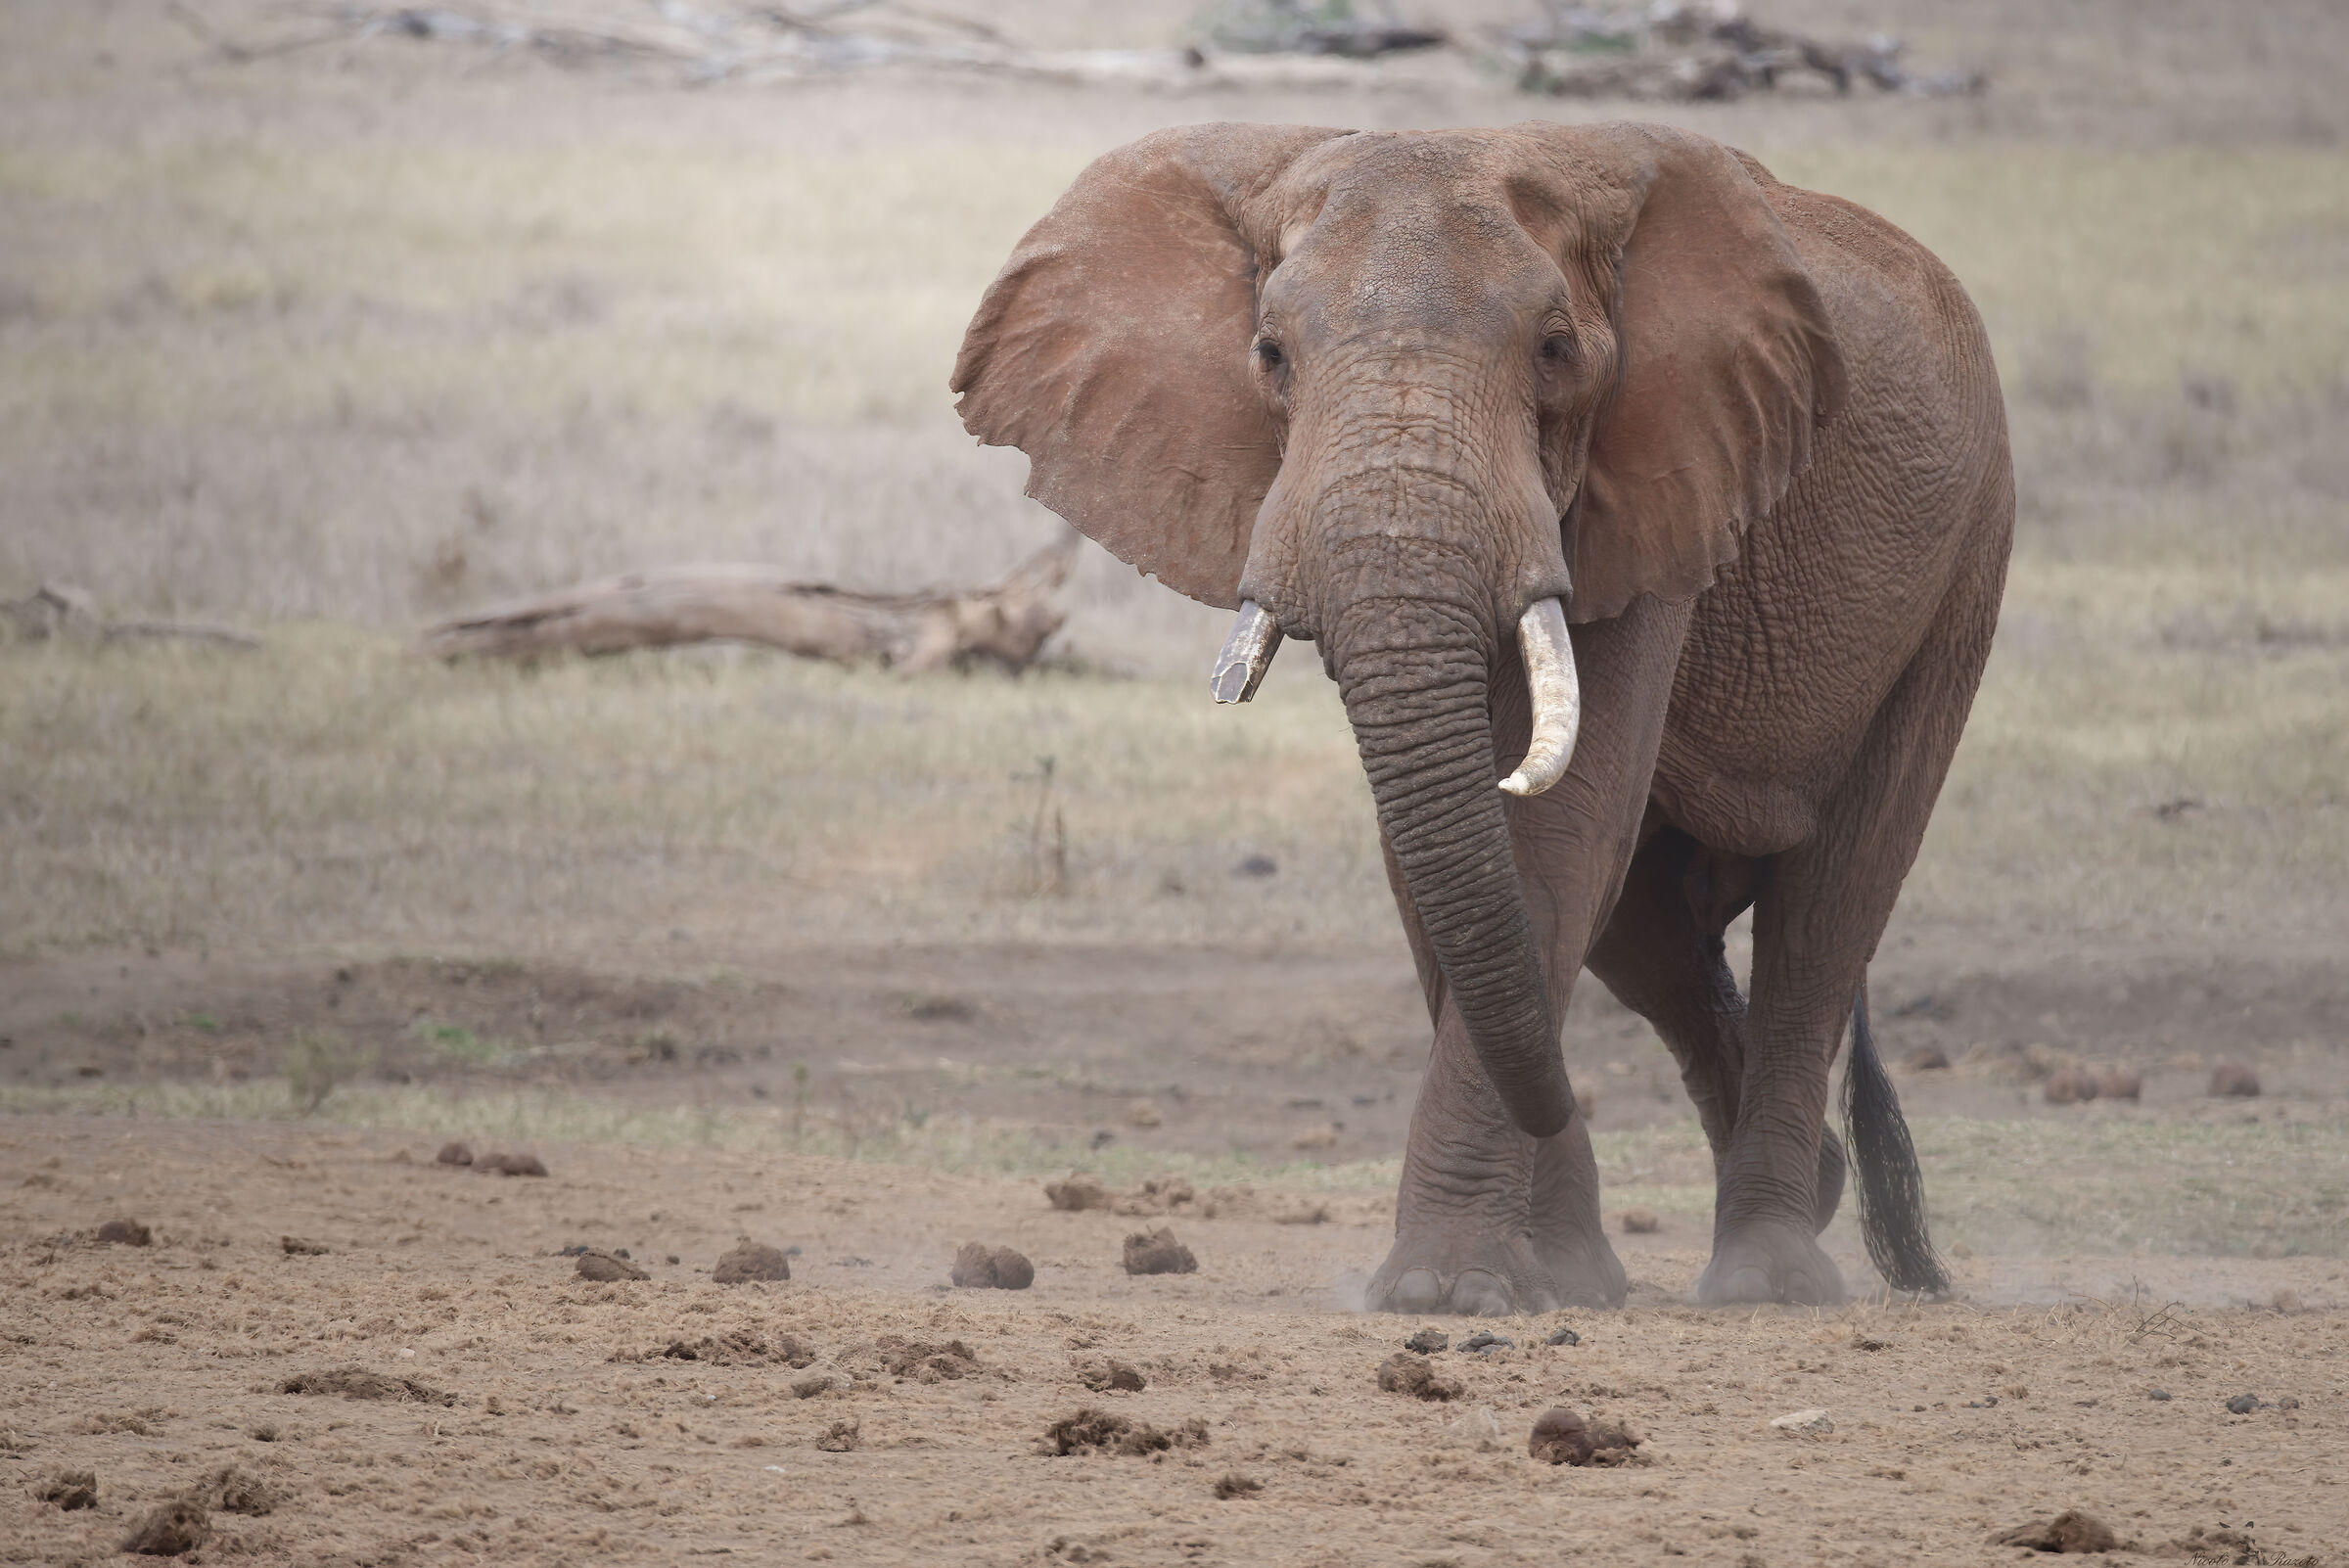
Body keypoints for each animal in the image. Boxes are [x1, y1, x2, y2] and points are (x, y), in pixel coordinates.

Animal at [952, 121, 2012, 1310]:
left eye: (1555, 351)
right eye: (1270, 355)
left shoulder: (1666, 468)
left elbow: (1554, 835)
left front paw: (1445, 1292)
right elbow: (1442, 859)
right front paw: (1555, 1281)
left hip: (1967, 561)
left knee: (1830, 909)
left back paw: (1768, 1280)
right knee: (1652, 939)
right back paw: (1800, 1196)